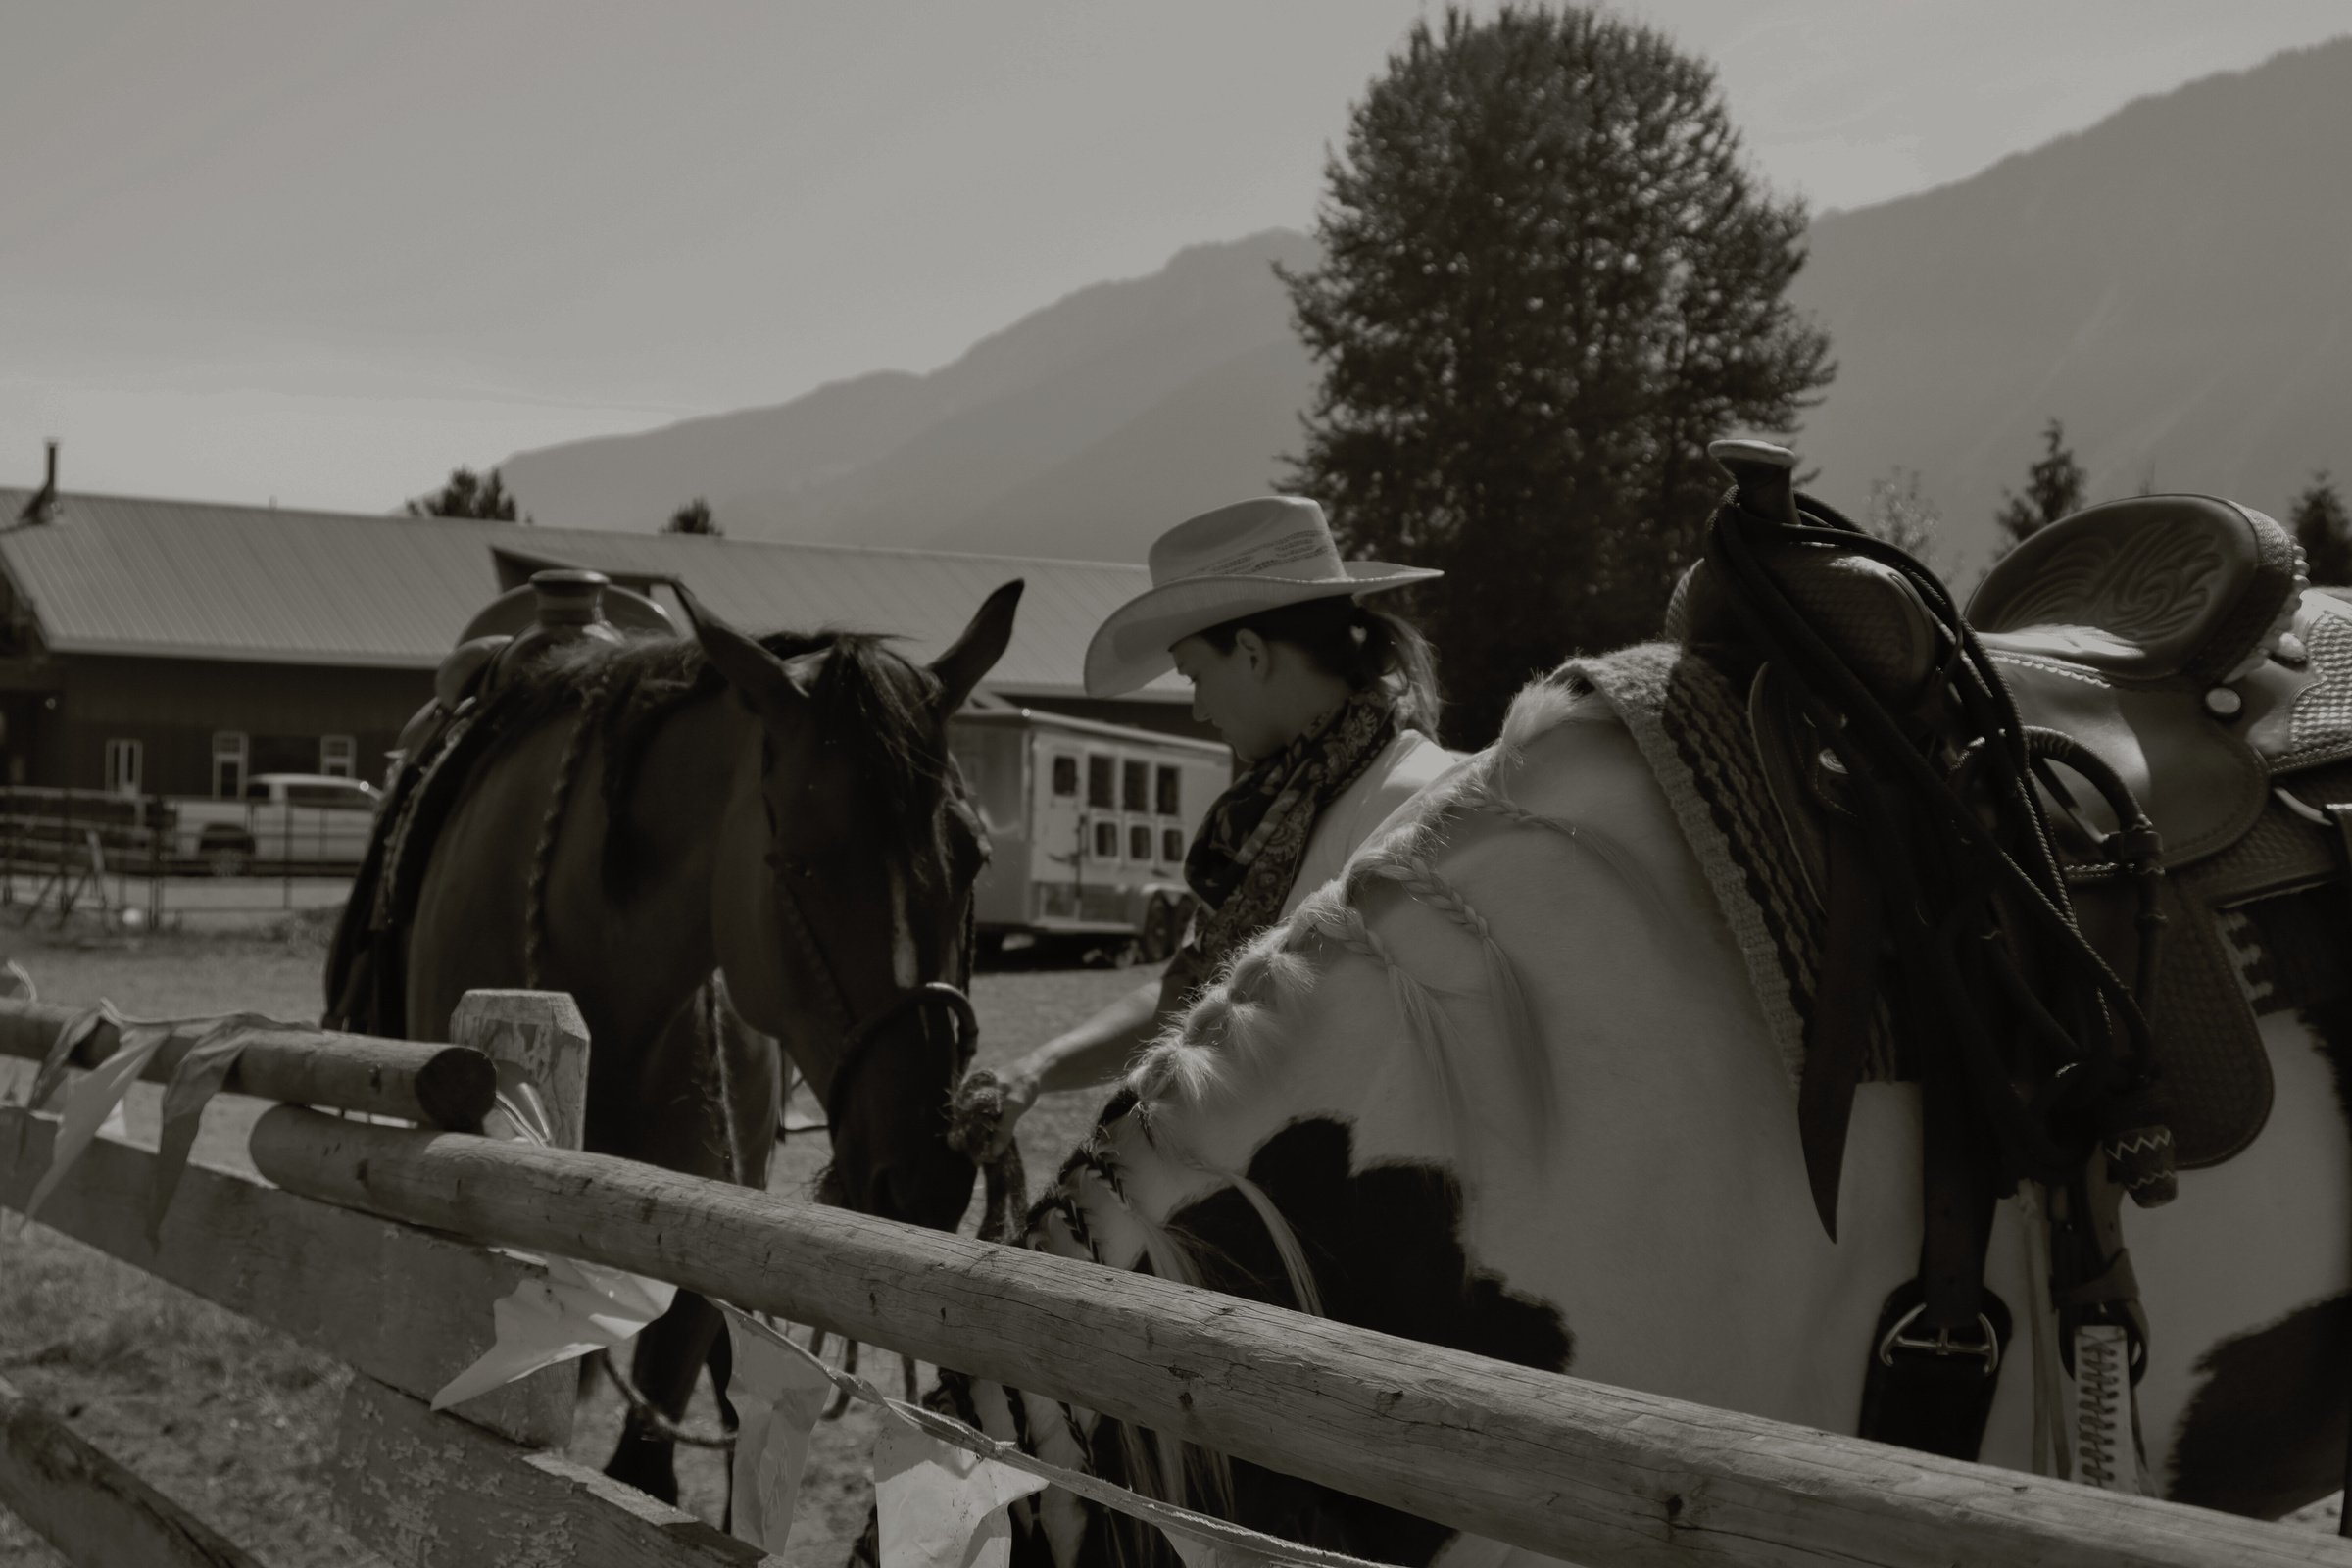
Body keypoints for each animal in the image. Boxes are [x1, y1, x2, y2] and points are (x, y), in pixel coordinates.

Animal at [341, 582, 1020, 1504]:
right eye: (799, 864)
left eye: (974, 856)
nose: (926, 1174)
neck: (611, 998)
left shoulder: (703, 1240)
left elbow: (646, 1465)